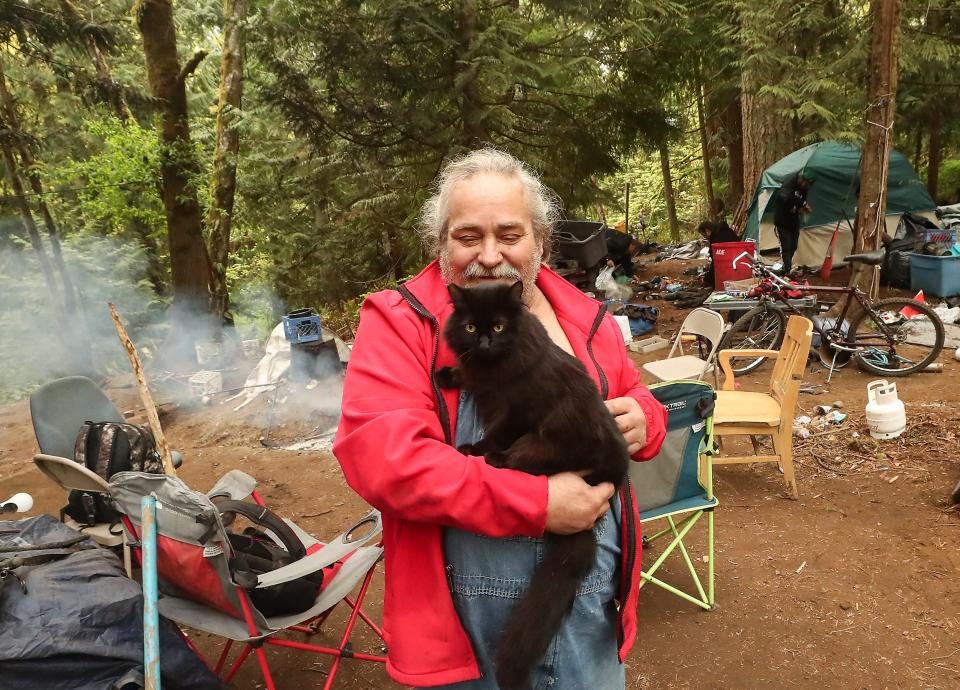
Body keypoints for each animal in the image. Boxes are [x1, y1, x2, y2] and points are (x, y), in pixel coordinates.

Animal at [436, 280, 632, 688]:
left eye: (498, 327)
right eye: (471, 327)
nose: (484, 343)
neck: (492, 367)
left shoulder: (517, 411)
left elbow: (496, 433)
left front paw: (475, 449)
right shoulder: (483, 383)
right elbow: (466, 374)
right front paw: (447, 375)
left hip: (540, 443)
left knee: (525, 465)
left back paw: (491, 460)